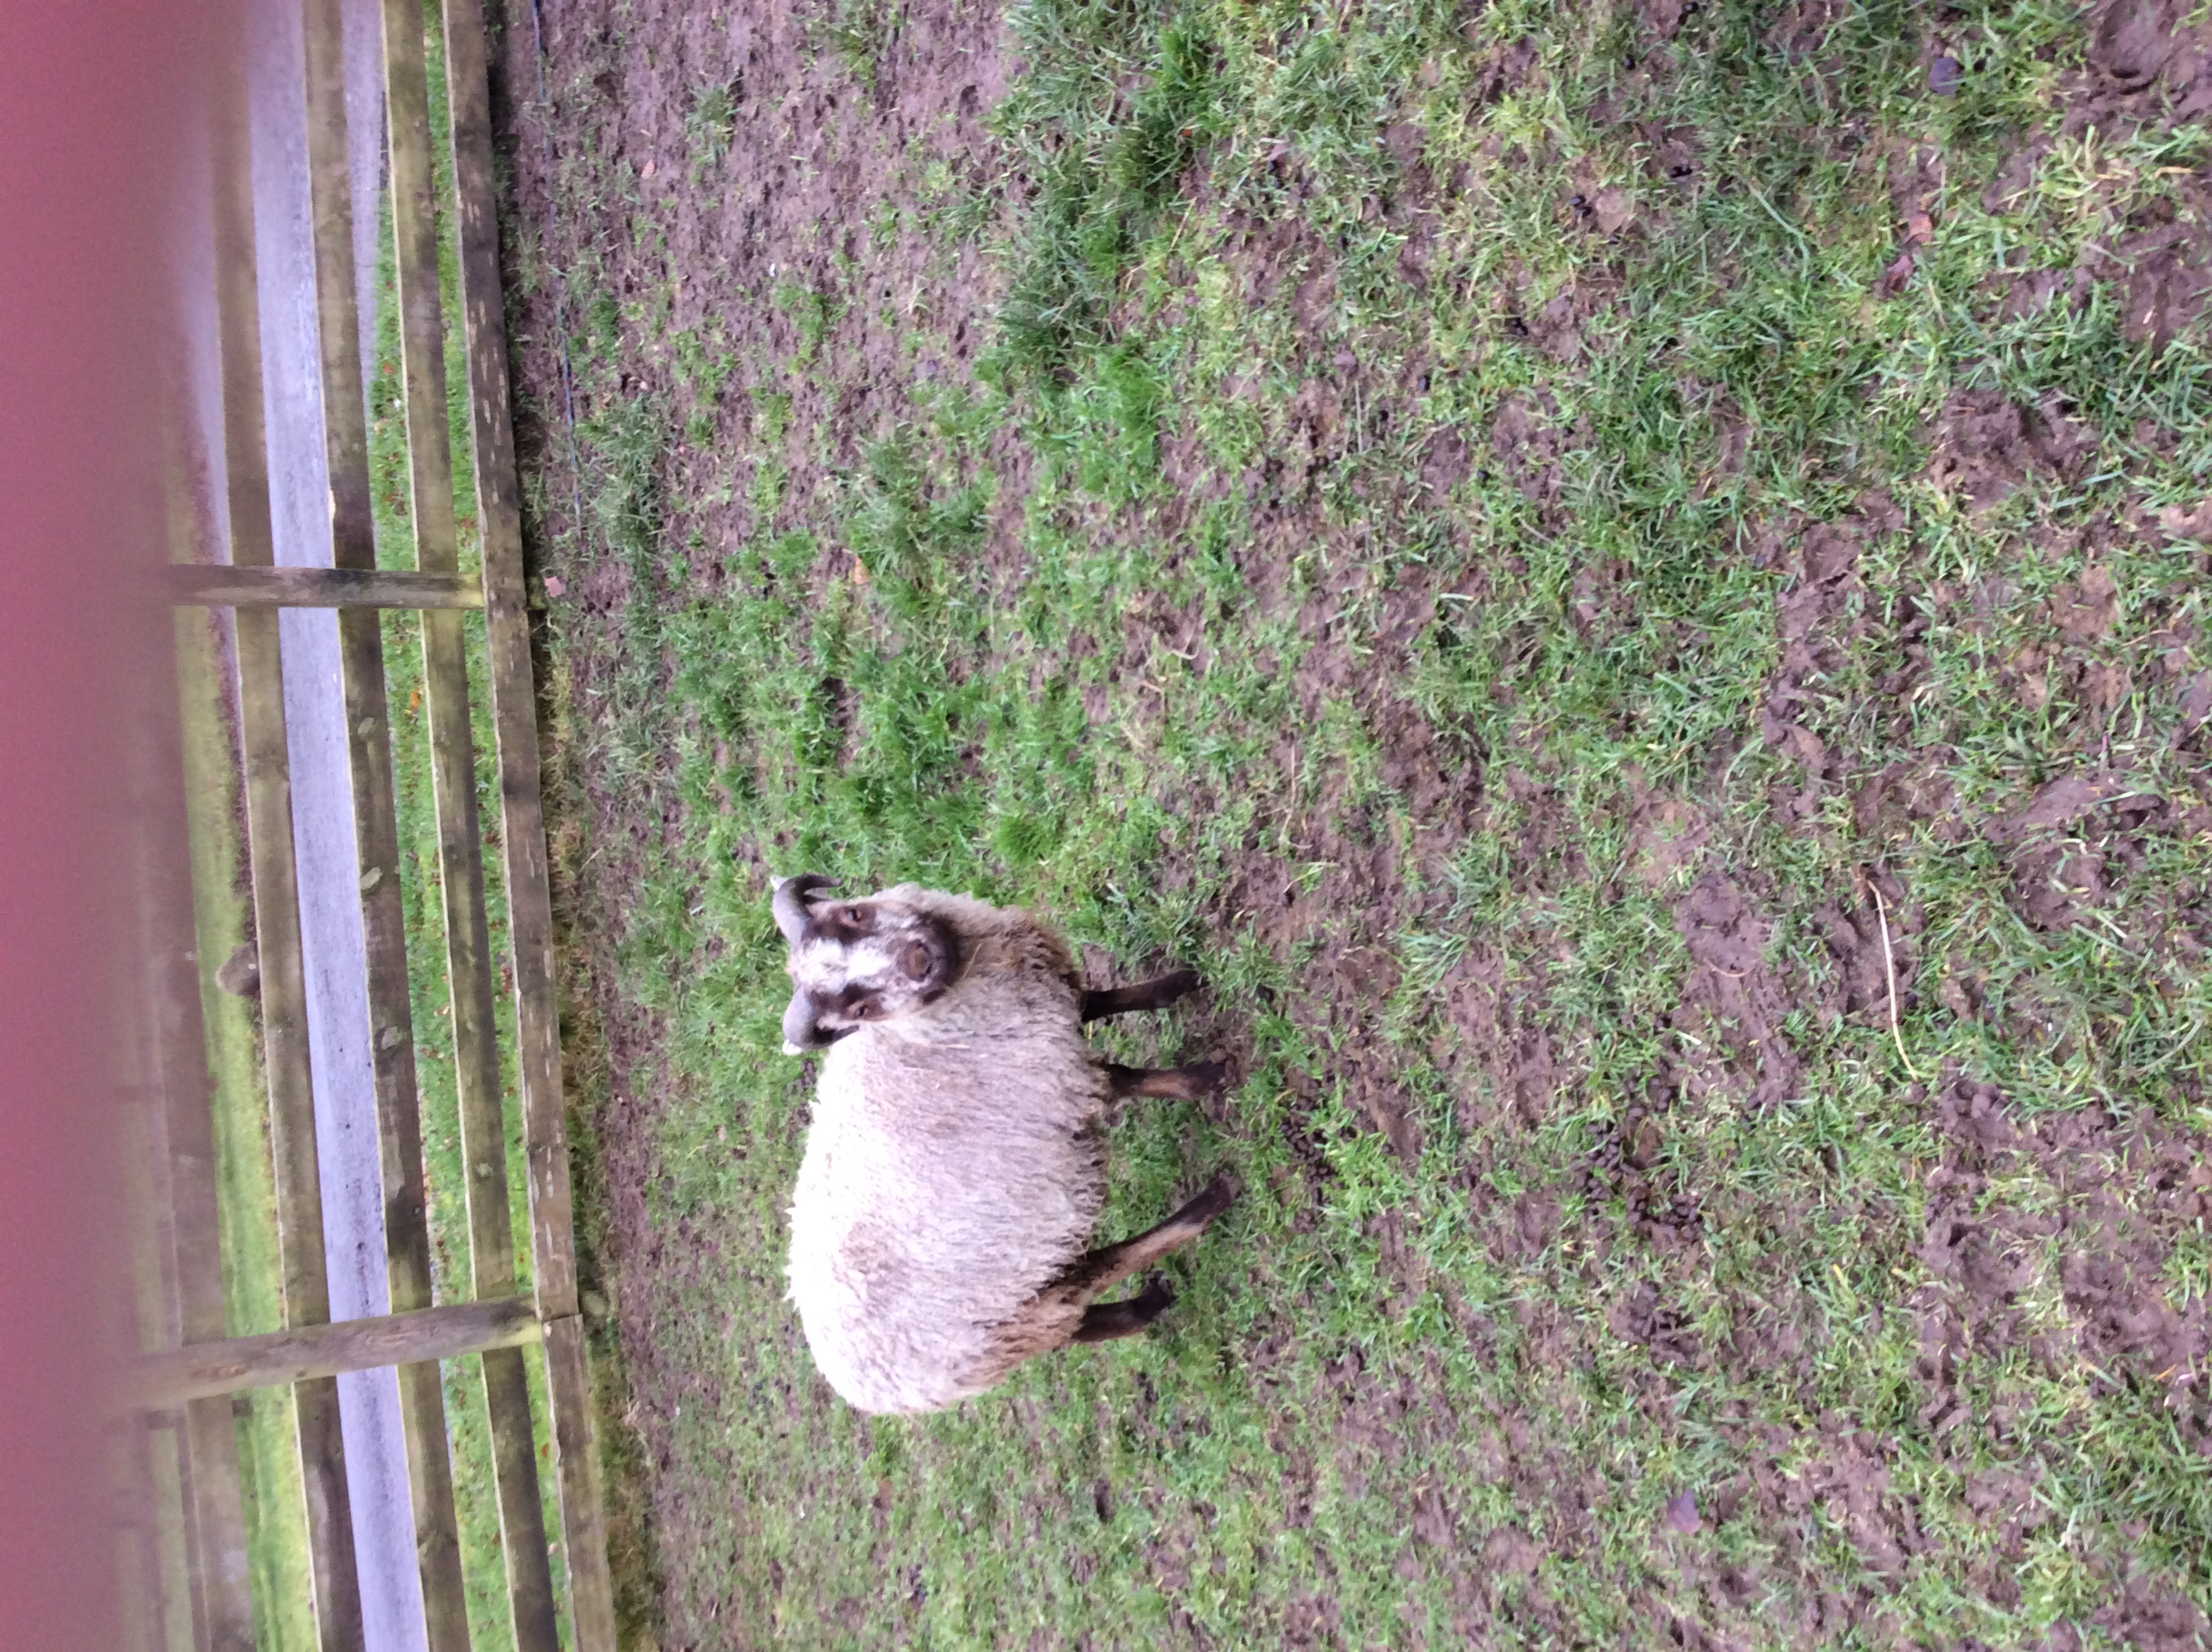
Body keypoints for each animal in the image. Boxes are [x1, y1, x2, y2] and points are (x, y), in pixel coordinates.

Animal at [772, 873, 1234, 1415]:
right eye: (859, 1009)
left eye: (853, 915)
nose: (915, 959)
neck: (918, 1033)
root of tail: (860, 1386)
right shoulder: (1055, 1075)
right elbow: (1129, 1078)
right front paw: (1203, 1079)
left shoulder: (1049, 998)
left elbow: (1102, 999)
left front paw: (1178, 983)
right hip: (1008, 1299)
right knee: (1101, 1273)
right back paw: (1209, 1204)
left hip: (1015, 1322)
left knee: (1079, 1325)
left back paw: (1148, 1305)